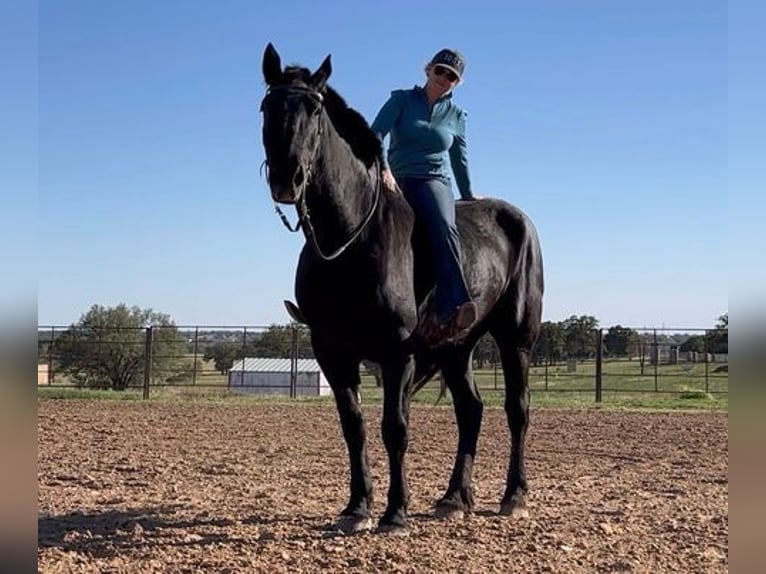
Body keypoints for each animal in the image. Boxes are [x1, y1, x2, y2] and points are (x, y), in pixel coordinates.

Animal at [260, 44, 544, 536]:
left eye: (314, 109)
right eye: (266, 107)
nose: (286, 178)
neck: (351, 237)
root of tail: (518, 219)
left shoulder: (398, 353)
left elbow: (395, 428)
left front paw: (395, 512)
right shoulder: (331, 351)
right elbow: (353, 427)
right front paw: (357, 508)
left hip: (516, 340)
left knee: (517, 410)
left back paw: (514, 496)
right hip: (457, 347)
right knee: (471, 410)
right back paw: (454, 498)